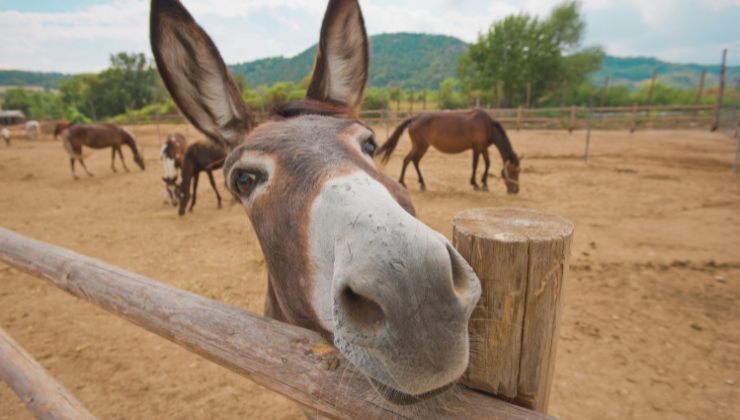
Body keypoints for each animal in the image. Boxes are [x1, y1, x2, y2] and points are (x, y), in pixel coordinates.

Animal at [378, 109, 524, 193]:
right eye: (513, 172)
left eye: (519, 171)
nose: (516, 190)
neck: (487, 125)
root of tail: (414, 118)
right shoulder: (477, 148)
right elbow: (475, 165)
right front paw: (475, 184)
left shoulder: (483, 148)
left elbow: (488, 164)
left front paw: (485, 184)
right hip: (421, 146)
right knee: (410, 160)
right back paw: (409, 183)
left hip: (418, 146)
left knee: (411, 160)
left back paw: (417, 183)